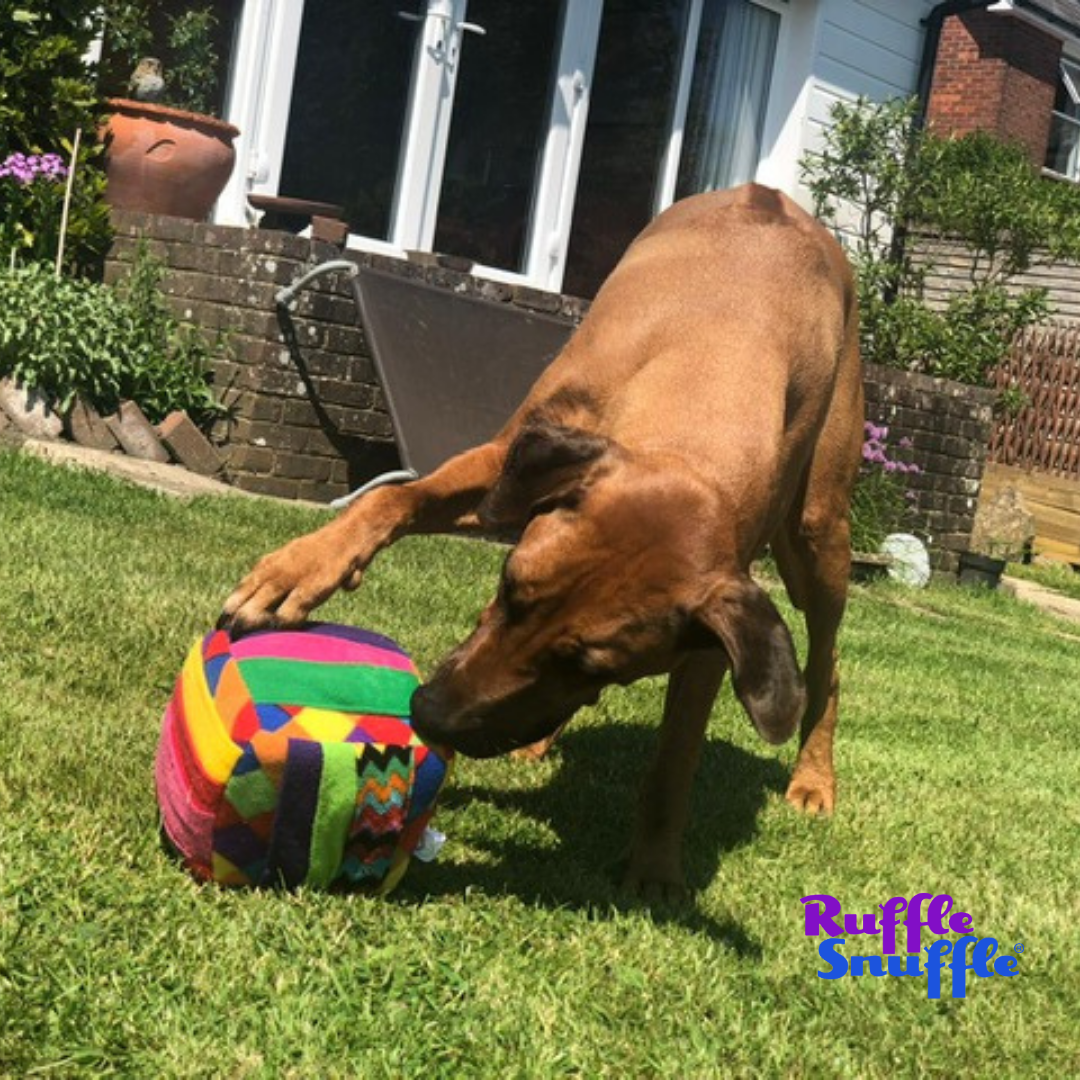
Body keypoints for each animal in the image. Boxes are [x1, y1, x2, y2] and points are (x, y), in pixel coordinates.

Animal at [223, 187, 864, 902]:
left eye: (590, 665)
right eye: (508, 589)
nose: (429, 716)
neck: (699, 395)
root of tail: (772, 195)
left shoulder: (720, 616)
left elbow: (676, 756)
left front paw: (655, 870)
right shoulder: (510, 465)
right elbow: (395, 499)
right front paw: (299, 568)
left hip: (817, 532)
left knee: (826, 661)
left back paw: (813, 779)